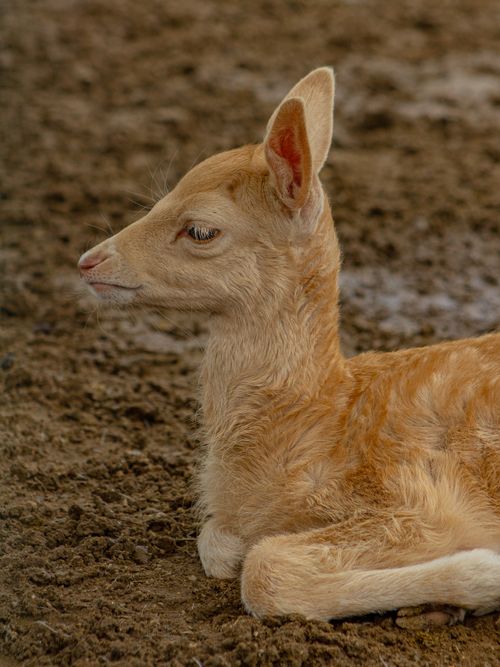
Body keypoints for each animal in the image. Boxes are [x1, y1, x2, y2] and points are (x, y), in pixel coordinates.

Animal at [78, 68, 500, 624]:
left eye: (201, 230)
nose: (88, 261)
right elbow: (220, 542)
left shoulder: (419, 498)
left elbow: (266, 569)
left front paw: (486, 572)